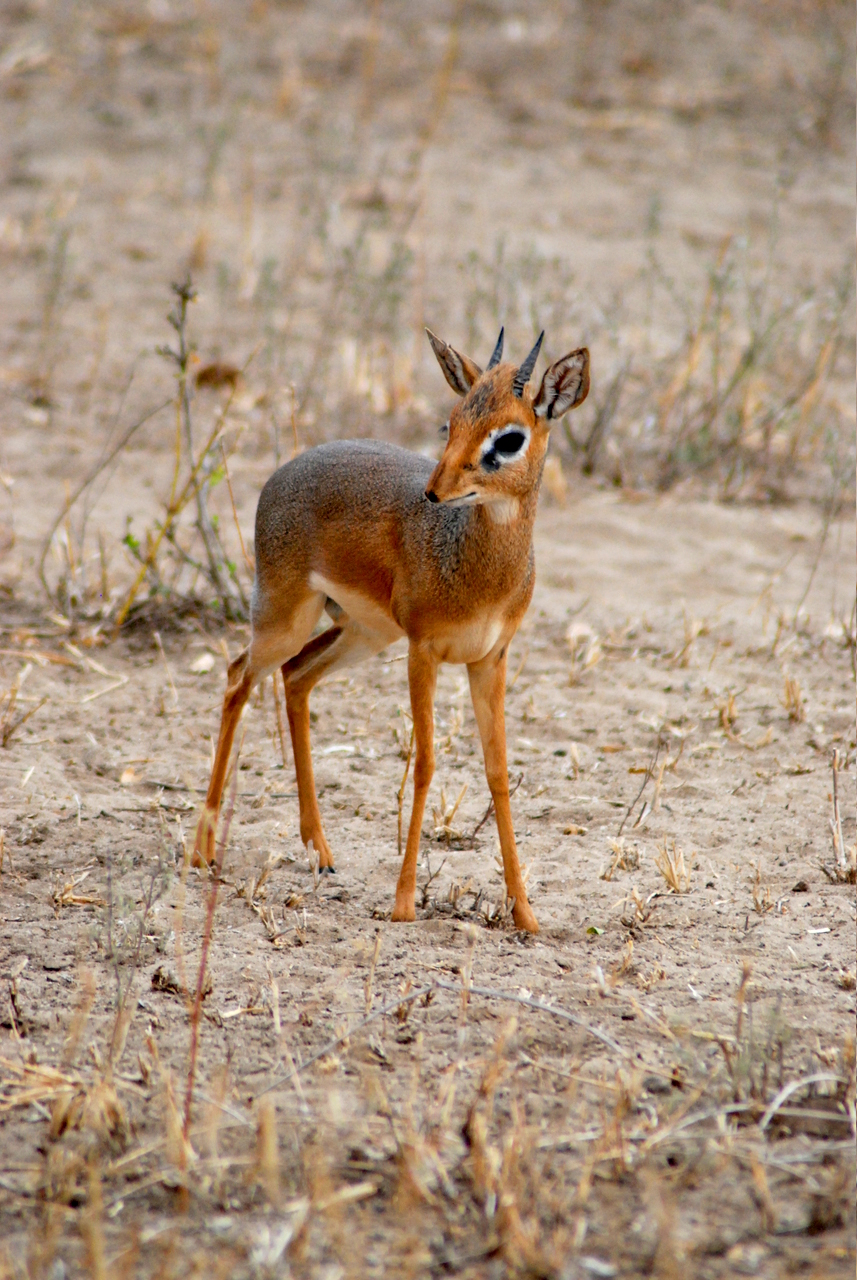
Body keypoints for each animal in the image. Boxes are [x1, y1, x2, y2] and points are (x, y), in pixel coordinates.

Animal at [193, 330, 590, 931]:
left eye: (510, 437)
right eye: (451, 421)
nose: (434, 490)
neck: (477, 566)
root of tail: (285, 470)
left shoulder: (488, 660)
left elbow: (498, 772)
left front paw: (524, 913)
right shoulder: (422, 653)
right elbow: (423, 764)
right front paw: (403, 903)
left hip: (362, 632)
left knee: (296, 677)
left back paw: (320, 851)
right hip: (286, 619)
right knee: (239, 677)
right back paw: (203, 851)